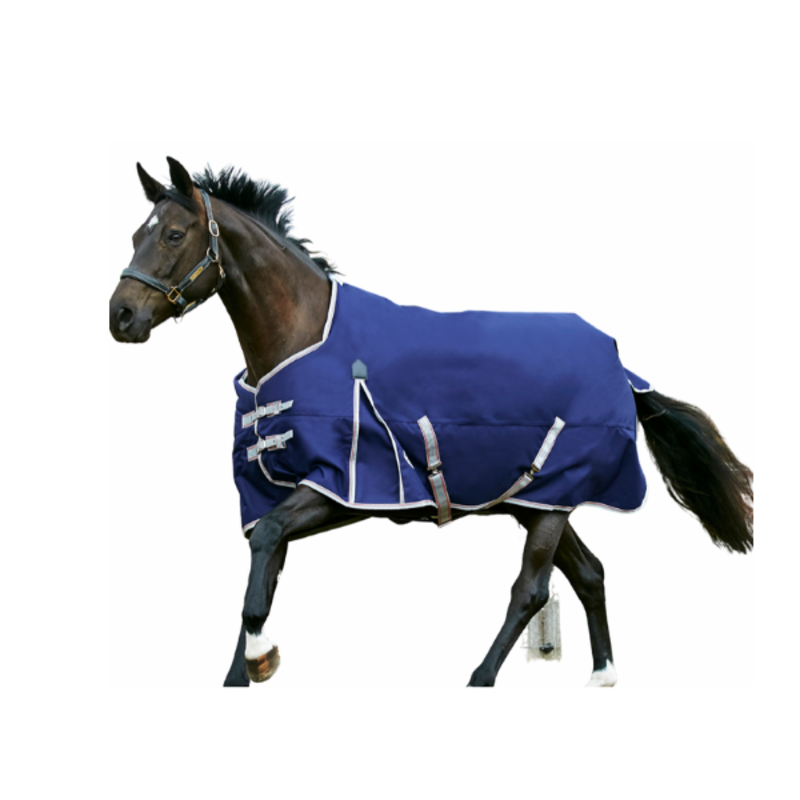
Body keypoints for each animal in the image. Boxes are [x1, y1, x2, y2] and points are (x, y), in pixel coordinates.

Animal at [109, 157, 753, 687]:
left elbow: (262, 560)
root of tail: (621, 364)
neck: (303, 340)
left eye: (173, 234)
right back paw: (602, 677)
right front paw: (240, 672)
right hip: (537, 499)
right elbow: (260, 579)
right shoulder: (279, 492)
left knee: (531, 590)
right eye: (137, 233)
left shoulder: (338, 487)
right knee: (589, 573)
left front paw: (263, 659)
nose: (121, 315)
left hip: (554, 497)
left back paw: (481, 678)